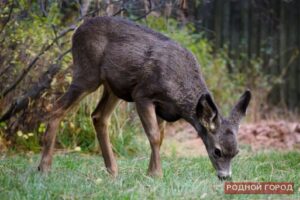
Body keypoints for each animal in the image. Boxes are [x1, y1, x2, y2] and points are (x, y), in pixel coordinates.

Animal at [37, 16, 251, 180]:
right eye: (217, 151)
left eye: (236, 152)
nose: (225, 177)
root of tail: (77, 31)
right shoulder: (143, 95)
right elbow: (154, 136)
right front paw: (157, 174)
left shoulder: (163, 109)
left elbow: (161, 137)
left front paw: (150, 172)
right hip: (86, 74)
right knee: (56, 108)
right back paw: (44, 168)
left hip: (113, 88)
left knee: (99, 116)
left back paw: (112, 170)